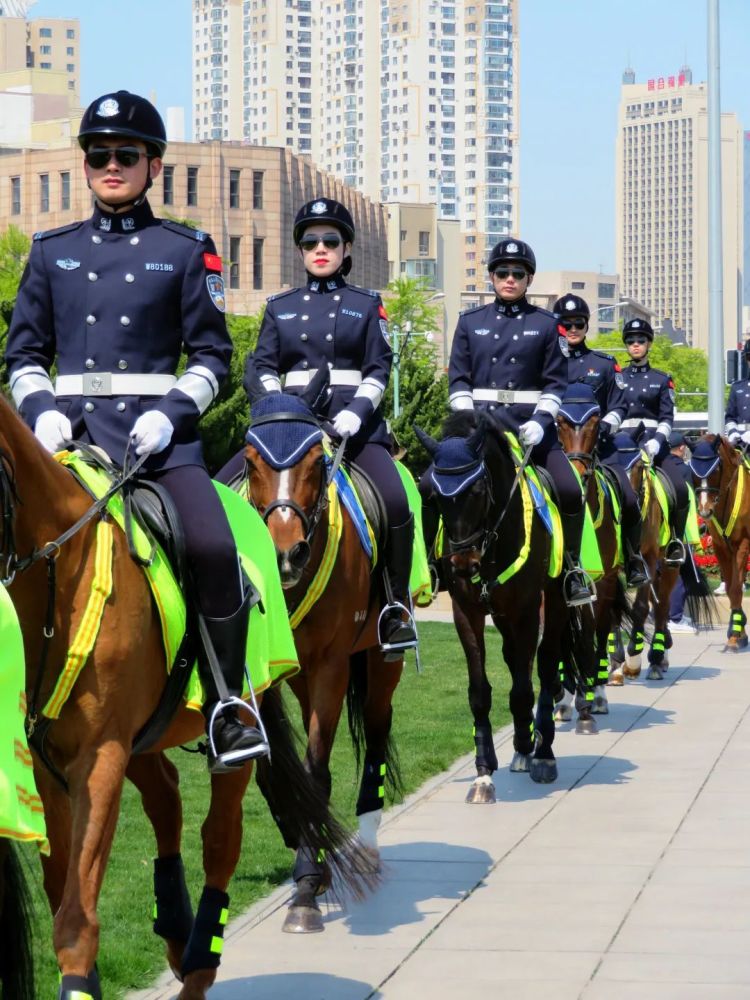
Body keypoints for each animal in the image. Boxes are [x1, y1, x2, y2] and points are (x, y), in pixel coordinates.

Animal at [0, 394, 370, 996]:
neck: (61, 578)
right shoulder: (48, 763)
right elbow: (62, 891)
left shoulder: (99, 756)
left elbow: (76, 917)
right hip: (145, 736)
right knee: (167, 796)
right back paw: (174, 926)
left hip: (237, 718)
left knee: (219, 837)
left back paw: (200, 956)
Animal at [235, 372, 408, 932]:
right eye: (251, 461)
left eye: (316, 460)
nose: (286, 554)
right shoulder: (264, 674)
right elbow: (273, 770)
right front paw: (303, 844)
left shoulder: (333, 664)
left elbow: (315, 769)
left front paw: (307, 886)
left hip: (378, 660)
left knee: (376, 730)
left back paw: (367, 845)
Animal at [418, 410, 592, 800]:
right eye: (432, 495)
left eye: (477, 491)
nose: (462, 564)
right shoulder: (466, 613)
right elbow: (480, 692)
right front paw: (484, 772)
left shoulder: (527, 610)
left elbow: (525, 688)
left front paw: (532, 746)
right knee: (516, 661)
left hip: (552, 605)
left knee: (545, 666)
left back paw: (540, 751)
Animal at [692, 434, 750, 652]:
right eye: (693, 468)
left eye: (715, 468)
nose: (704, 509)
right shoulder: (722, 548)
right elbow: (731, 589)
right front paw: (737, 632)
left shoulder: (742, 544)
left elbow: (735, 588)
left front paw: (736, 634)